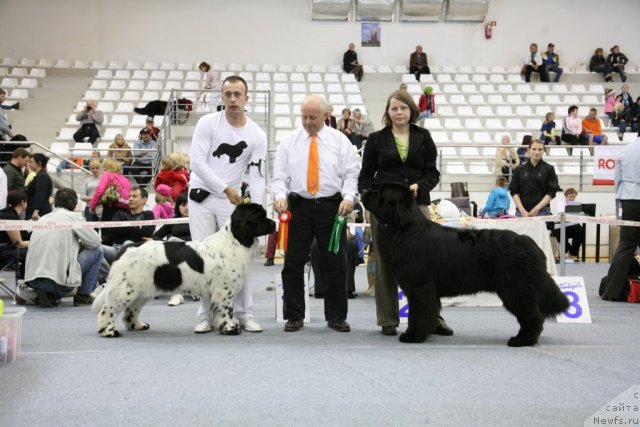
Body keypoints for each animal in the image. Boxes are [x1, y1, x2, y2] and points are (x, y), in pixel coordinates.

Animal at [92, 204, 276, 338]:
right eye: (260, 216)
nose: (274, 223)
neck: (235, 241)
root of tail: (125, 249)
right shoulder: (224, 291)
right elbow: (226, 311)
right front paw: (230, 328)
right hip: (125, 289)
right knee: (107, 309)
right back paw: (109, 331)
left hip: (141, 290)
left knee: (131, 310)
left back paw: (138, 326)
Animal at [362, 184, 568, 348]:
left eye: (380, 193)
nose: (363, 190)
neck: (405, 229)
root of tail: (531, 245)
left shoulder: (420, 288)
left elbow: (418, 314)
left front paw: (413, 336)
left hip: (516, 290)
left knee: (533, 317)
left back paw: (521, 340)